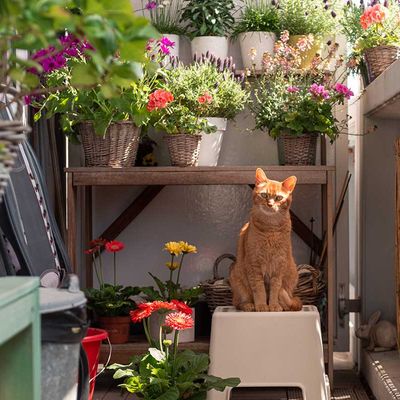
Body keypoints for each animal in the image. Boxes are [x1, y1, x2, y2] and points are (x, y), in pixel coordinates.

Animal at [230, 169, 302, 312]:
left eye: (279, 198)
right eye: (264, 195)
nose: (270, 204)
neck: (270, 229)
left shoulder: (279, 266)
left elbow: (275, 290)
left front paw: (273, 305)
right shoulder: (254, 265)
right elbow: (259, 290)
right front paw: (262, 305)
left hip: (293, 273)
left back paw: (281, 306)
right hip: (237, 279)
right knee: (237, 302)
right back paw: (249, 305)